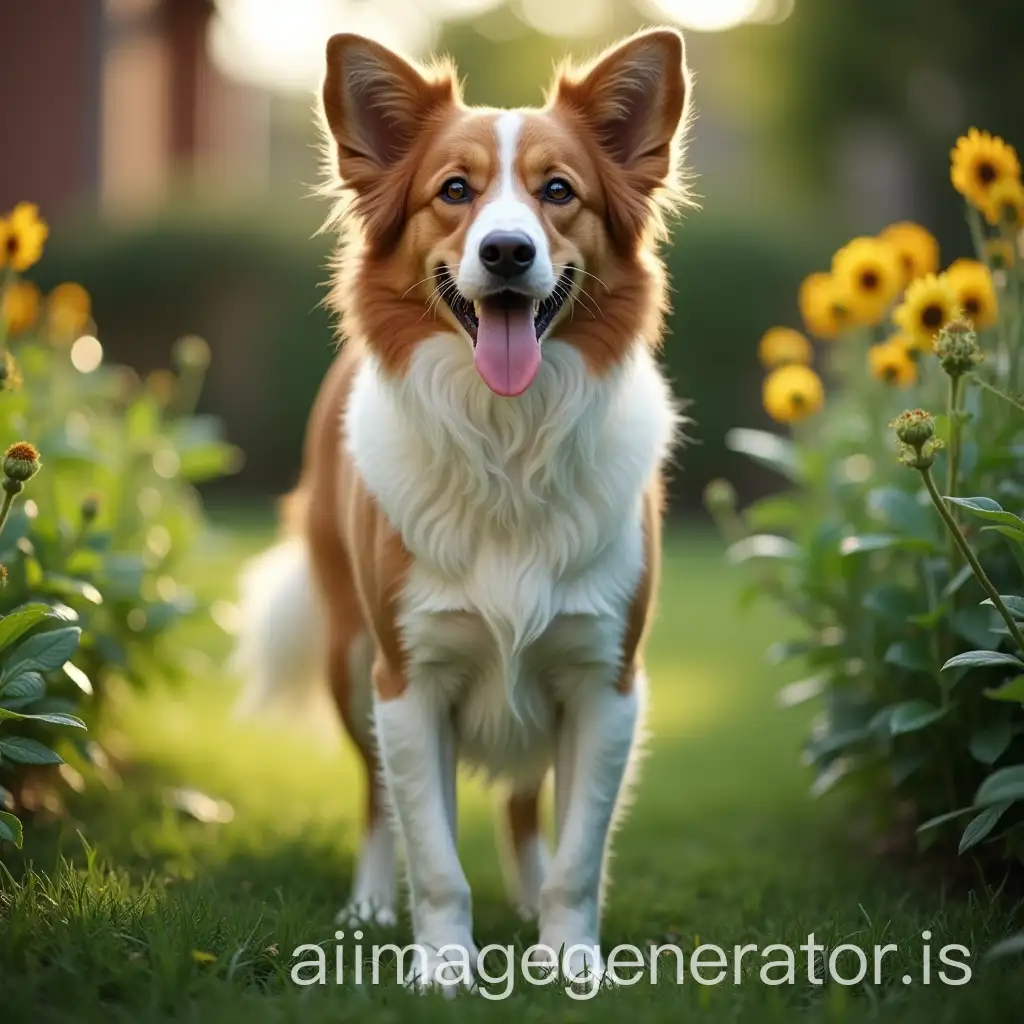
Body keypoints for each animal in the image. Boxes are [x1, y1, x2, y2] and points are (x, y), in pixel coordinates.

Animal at [235, 28, 692, 987]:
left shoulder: (605, 680)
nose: (509, 253)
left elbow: (579, 853)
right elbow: (435, 852)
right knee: (379, 801)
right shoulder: (411, 680)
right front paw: (443, 968)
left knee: (522, 803)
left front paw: (571, 962)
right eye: (454, 190)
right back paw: (372, 906)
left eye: (559, 192)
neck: (509, 439)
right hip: (351, 661)